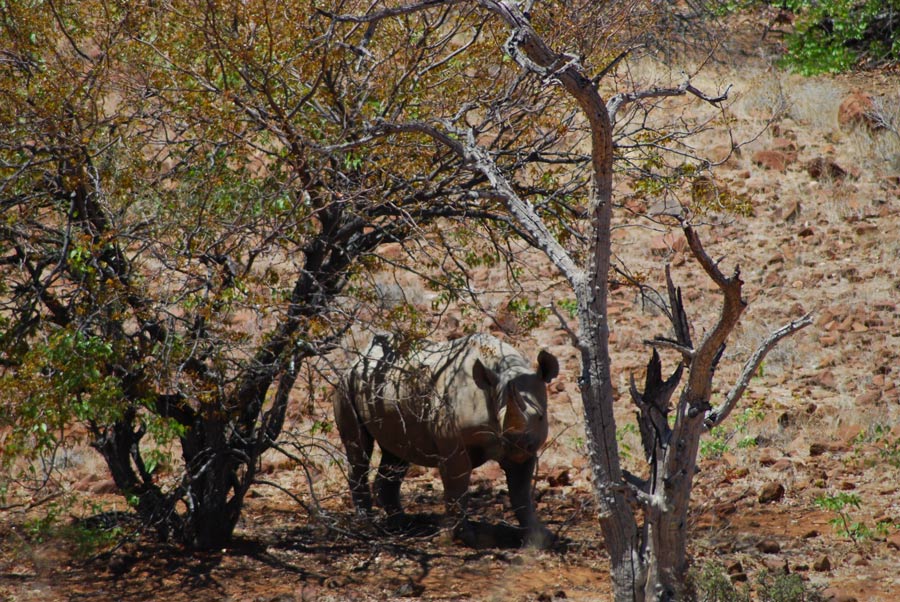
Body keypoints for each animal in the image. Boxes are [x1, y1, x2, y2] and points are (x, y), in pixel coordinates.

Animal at [334, 333, 559, 547]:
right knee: (359, 449)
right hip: (347, 384)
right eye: (499, 419)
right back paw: (368, 525)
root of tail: (358, 359)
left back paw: (402, 525)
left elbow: (521, 492)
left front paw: (540, 537)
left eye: (541, 417)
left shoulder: (529, 447)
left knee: (397, 453)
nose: (516, 447)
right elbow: (457, 484)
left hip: (388, 392)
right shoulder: (452, 441)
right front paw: (465, 539)